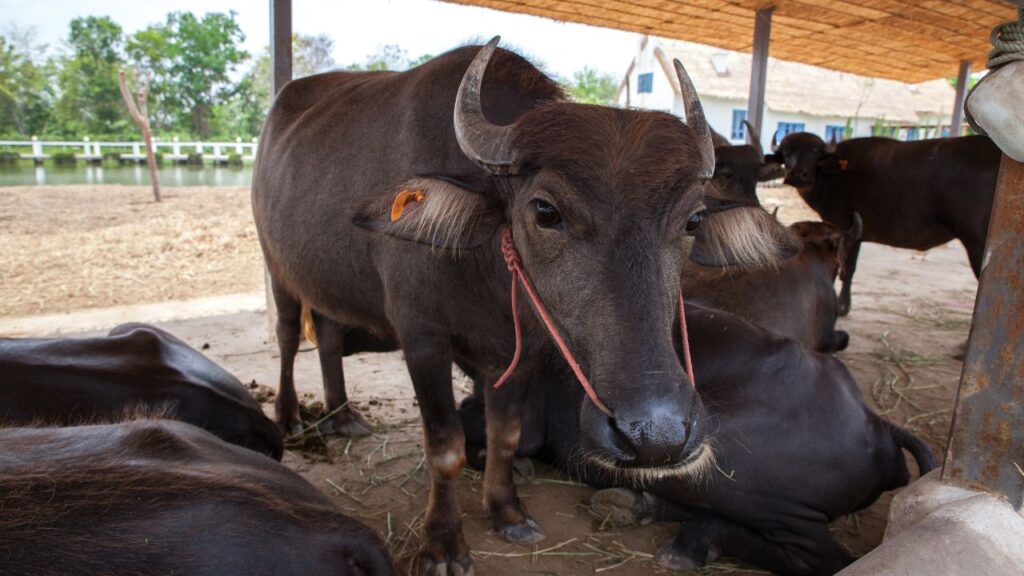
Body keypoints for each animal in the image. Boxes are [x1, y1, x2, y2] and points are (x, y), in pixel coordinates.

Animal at [253, 37, 795, 572]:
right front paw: (444, 544)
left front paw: (507, 512)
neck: (488, 273)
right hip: (276, 267)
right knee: (287, 335)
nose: (655, 435)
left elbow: (506, 435)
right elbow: (446, 446)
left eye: (693, 220)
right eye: (545, 210)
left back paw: (343, 416)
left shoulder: (522, 349)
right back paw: (291, 416)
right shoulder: (421, 338)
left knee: (327, 336)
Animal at [769, 132, 1001, 314]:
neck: (835, 174)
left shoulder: (846, 230)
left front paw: (842, 306)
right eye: (787, 150)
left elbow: (847, 268)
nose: (798, 175)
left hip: (977, 243)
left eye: (816, 151)